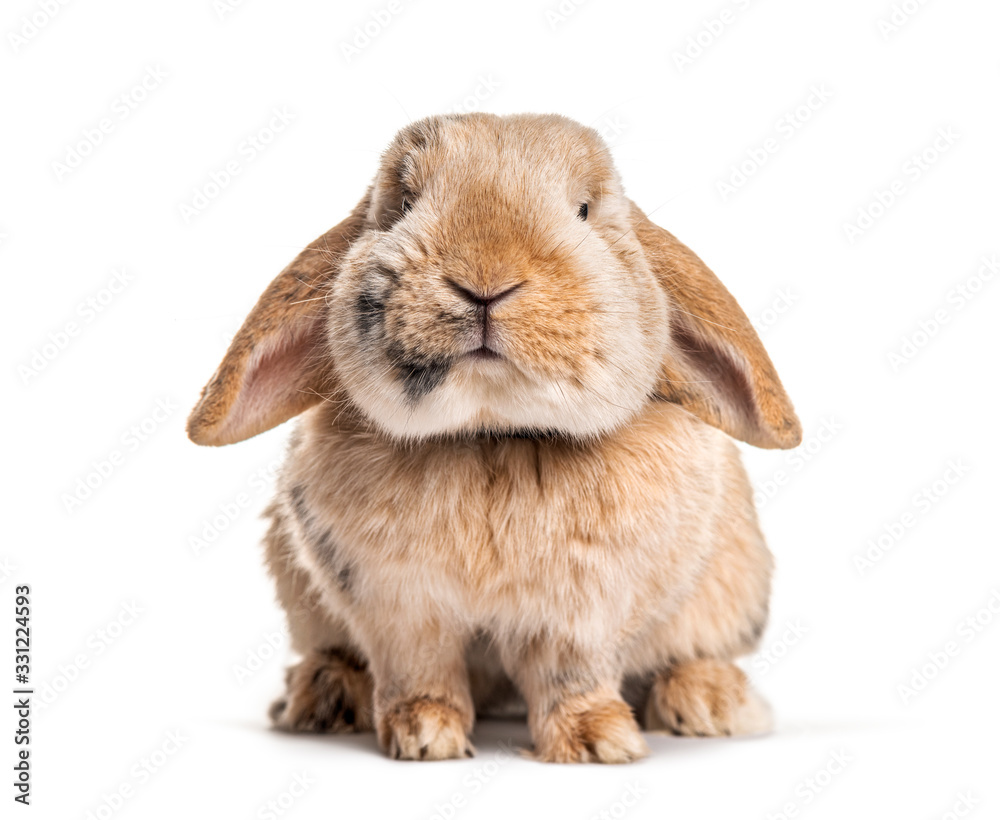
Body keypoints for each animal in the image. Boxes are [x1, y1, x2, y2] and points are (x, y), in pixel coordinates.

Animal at [188, 110, 800, 764]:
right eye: (404, 203)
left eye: (584, 210)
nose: (485, 277)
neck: (492, 438)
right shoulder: (398, 606)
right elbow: (418, 670)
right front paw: (423, 734)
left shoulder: (584, 612)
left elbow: (571, 676)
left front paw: (598, 741)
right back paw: (324, 696)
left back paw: (706, 700)